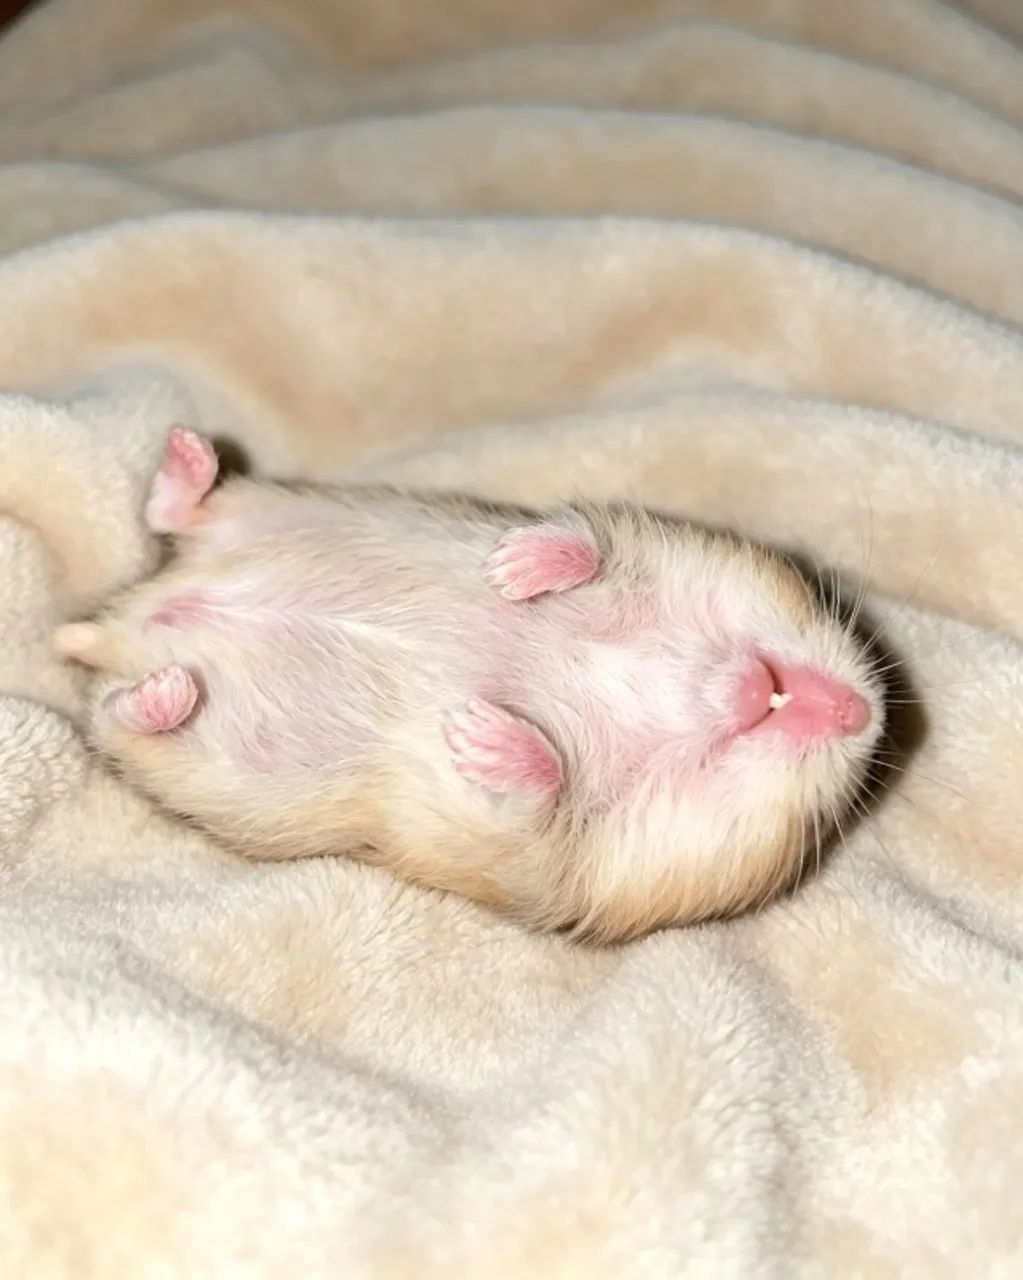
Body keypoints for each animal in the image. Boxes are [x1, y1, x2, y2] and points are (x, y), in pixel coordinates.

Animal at [54, 427, 884, 942]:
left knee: (130, 709)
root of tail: (129, 620)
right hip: (273, 508)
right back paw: (188, 454)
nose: (860, 711)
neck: (645, 680)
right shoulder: (638, 543)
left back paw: (165, 689)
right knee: (189, 516)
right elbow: (587, 547)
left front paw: (474, 732)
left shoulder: (553, 865)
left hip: (197, 766)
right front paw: (513, 570)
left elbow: (536, 799)